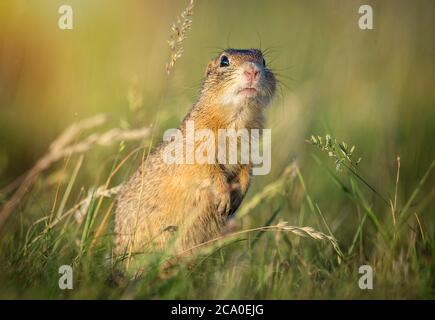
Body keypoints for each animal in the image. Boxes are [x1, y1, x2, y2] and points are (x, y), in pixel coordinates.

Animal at [115, 48, 276, 256]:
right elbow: (207, 171)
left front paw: (237, 198)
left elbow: (246, 172)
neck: (237, 120)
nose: (253, 71)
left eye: (263, 61)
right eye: (224, 61)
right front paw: (224, 198)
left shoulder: (249, 152)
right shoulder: (196, 150)